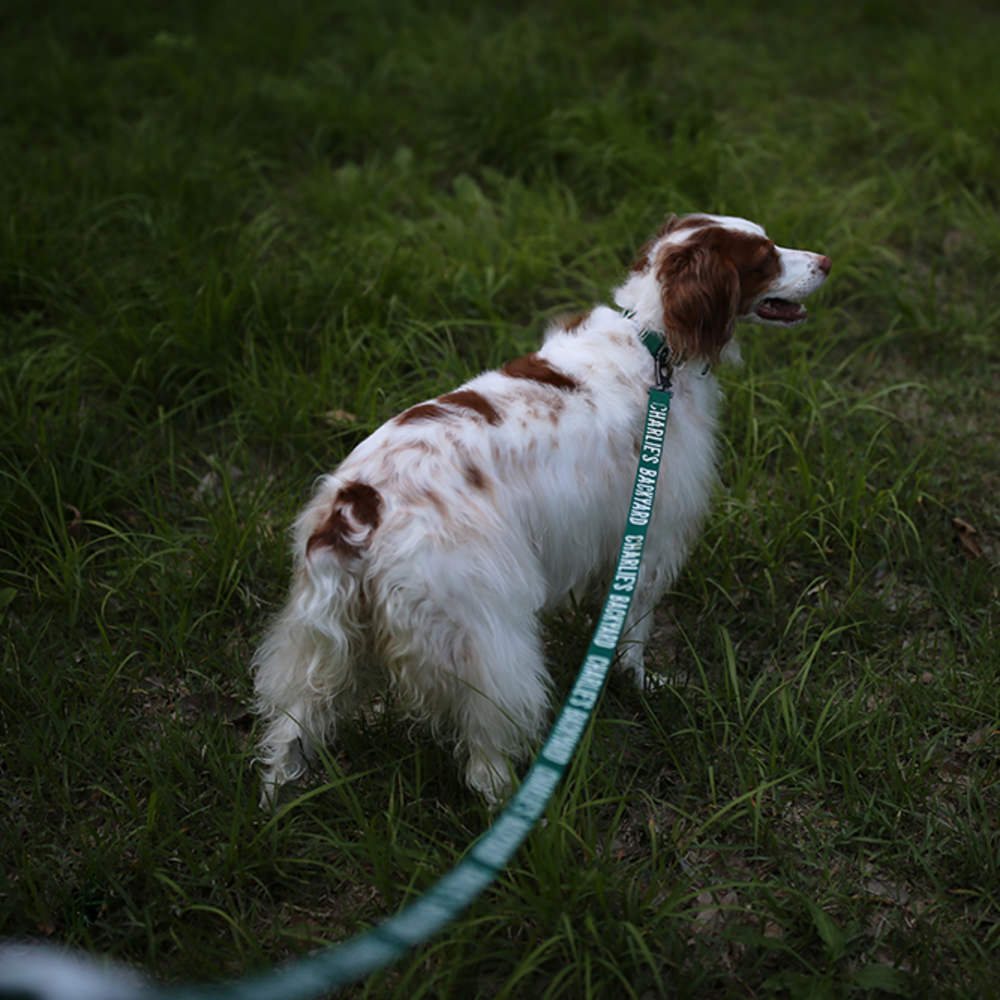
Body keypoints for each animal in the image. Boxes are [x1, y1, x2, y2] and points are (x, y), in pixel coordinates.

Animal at [254, 213, 832, 804]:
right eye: (764, 257)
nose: (827, 262)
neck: (655, 340)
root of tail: (360, 504)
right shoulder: (649, 534)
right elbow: (634, 632)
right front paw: (641, 684)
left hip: (321, 644)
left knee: (291, 728)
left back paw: (276, 800)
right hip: (487, 636)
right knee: (483, 753)